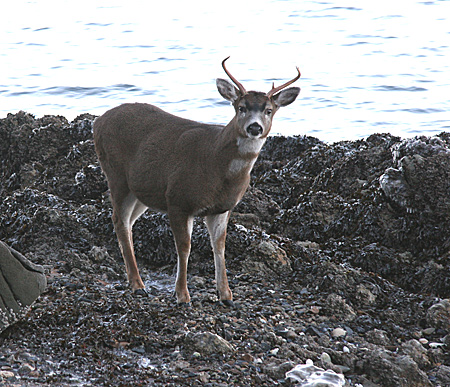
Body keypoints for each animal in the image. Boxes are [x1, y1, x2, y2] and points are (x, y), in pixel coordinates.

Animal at [92, 57, 300, 306]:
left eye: (269, 110)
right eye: (241, 107)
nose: (254, 127)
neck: (217, 165)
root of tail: (98, 122)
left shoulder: (222, 208)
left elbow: (219, 246)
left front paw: (226, 295)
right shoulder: (178, 200)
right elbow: (184, 248)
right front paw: (182, 295)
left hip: (142, 189)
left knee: (128, 222)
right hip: (116, 174)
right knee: (119, 220)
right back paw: (137, 284)